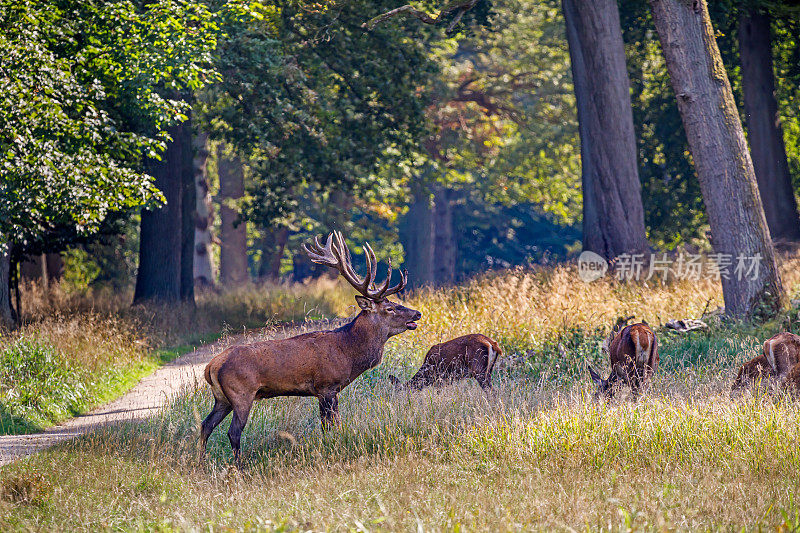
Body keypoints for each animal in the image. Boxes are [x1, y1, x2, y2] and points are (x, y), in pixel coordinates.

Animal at [200, 232, 422, 462]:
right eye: (390, 308)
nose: (417, 313)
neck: (349, 353)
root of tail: (211, 366)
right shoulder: (326, 386)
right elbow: (331, 425)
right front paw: (332, 447)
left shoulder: (328, 390)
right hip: (241, 393)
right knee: (233, 431)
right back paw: (238, 465)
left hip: (221, 398)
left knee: (206, 424)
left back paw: (201, 461)